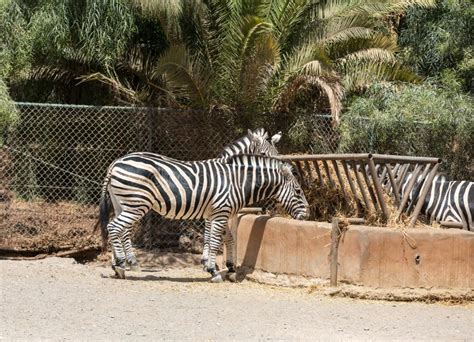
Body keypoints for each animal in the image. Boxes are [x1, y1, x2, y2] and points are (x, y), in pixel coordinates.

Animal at [97, 152, 310, 280]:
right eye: (298, 191)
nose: (307, 215)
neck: (236, 182)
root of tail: (116, 162)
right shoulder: (220, 212)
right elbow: (215, 241)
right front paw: (213, 271)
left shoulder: (218, 212)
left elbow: (226, 239)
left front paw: (229, 268)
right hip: (136, 203)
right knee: (114, 227)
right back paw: (121, 264)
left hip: (122, 203)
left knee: (120, 230)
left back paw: (121, 265)